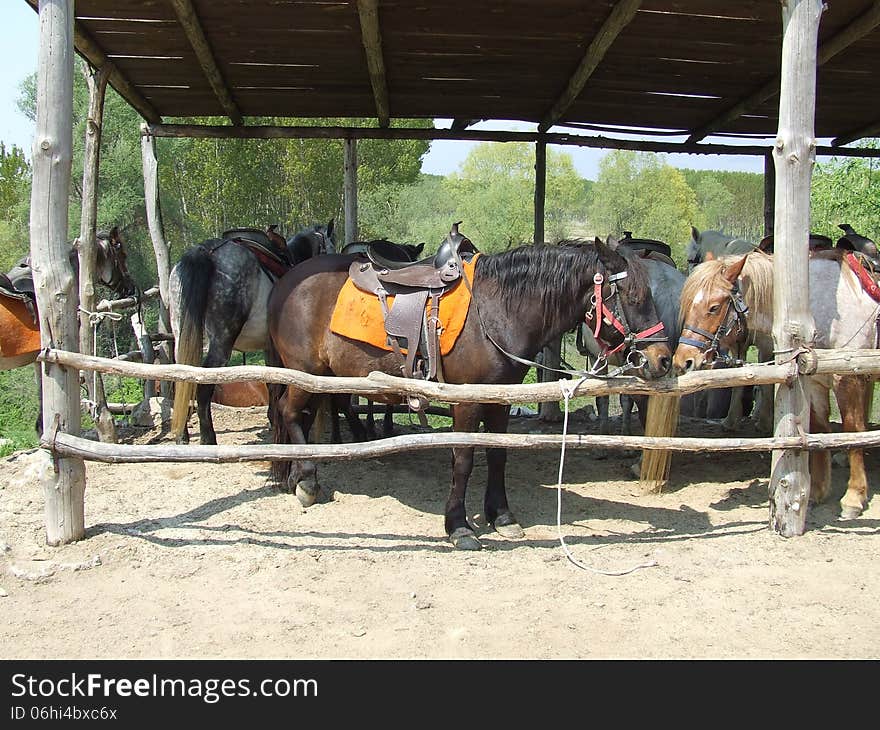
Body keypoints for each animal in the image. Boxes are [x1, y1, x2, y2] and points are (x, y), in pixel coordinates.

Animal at [264, 225, 672, 548]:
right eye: (633, 297)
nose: (663, 359)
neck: (496, 310)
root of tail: (287, 282)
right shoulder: (466, 402)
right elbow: (463, 460)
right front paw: (458, 526)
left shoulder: (500, 400)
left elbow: (497, 455)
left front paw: (502, 516)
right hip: (303, 371)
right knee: (289, 413)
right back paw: (306, 481)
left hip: (319, 377)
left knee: (298, 416)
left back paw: (298, 475)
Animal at [672, 249, 880, 516]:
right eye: (688, 305)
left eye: (714, 307)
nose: (683, 361)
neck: (815, 313)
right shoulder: (815, 382)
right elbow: (821, 429)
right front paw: (817, 492)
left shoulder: (846, 378)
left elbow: (853, 428)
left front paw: (854, 497)